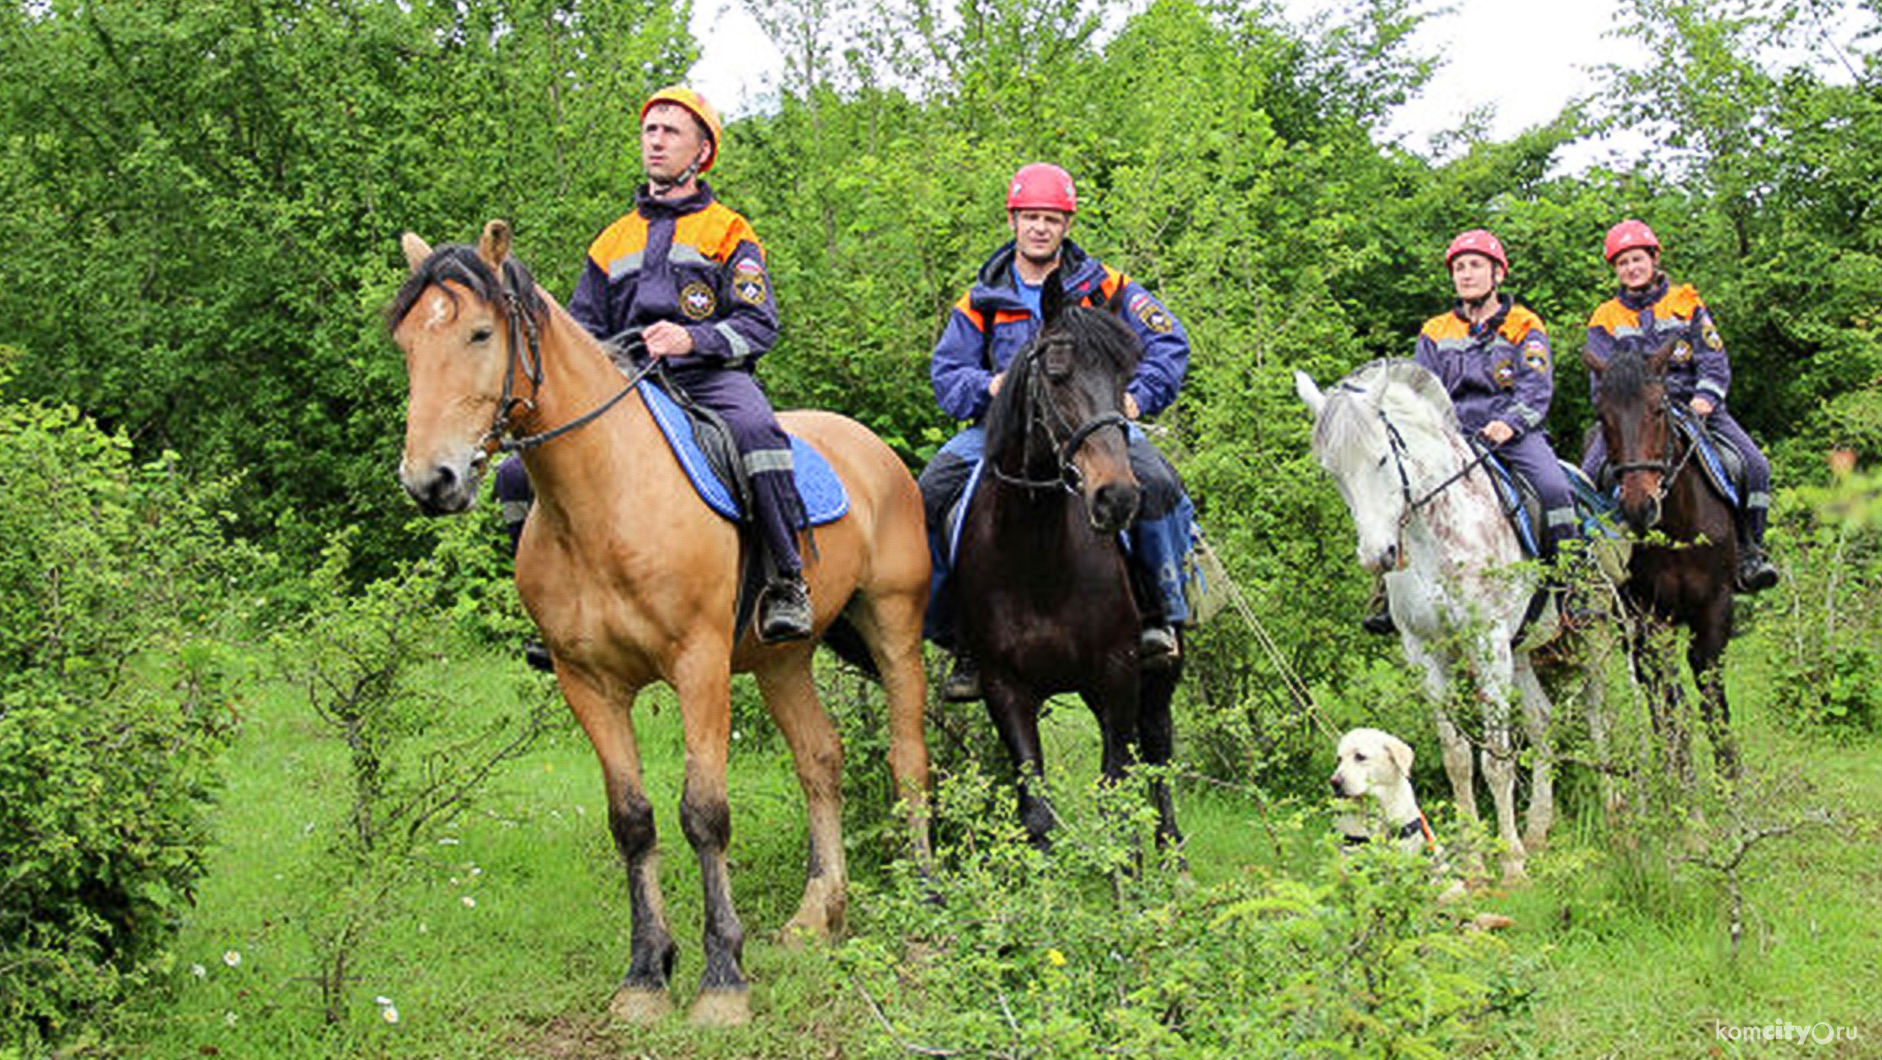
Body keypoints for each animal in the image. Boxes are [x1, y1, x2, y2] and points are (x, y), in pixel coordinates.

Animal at [391, 222, 933, 1031]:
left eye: (480, 332)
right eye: (405, 344)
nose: (431, 481)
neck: (602, 498)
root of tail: (870, 449)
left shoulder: (698, 665)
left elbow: (703, 815)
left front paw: (722, 981)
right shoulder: (587, 683)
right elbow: (633, 821)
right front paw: (647, 974)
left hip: (894, 625)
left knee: (908, 760)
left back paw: (927, 905)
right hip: (781, 660)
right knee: (820, 759)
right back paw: (818, 915)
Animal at [1588, 344, 1731, 783]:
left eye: (1656, 410)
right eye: (1604, 417)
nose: (1639, 508)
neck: (1678, 529)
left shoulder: (1715, 607)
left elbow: (1711, 697)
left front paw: (1730, 784)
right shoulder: (1649, 616)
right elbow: (1668, 701)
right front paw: (1680, 781)